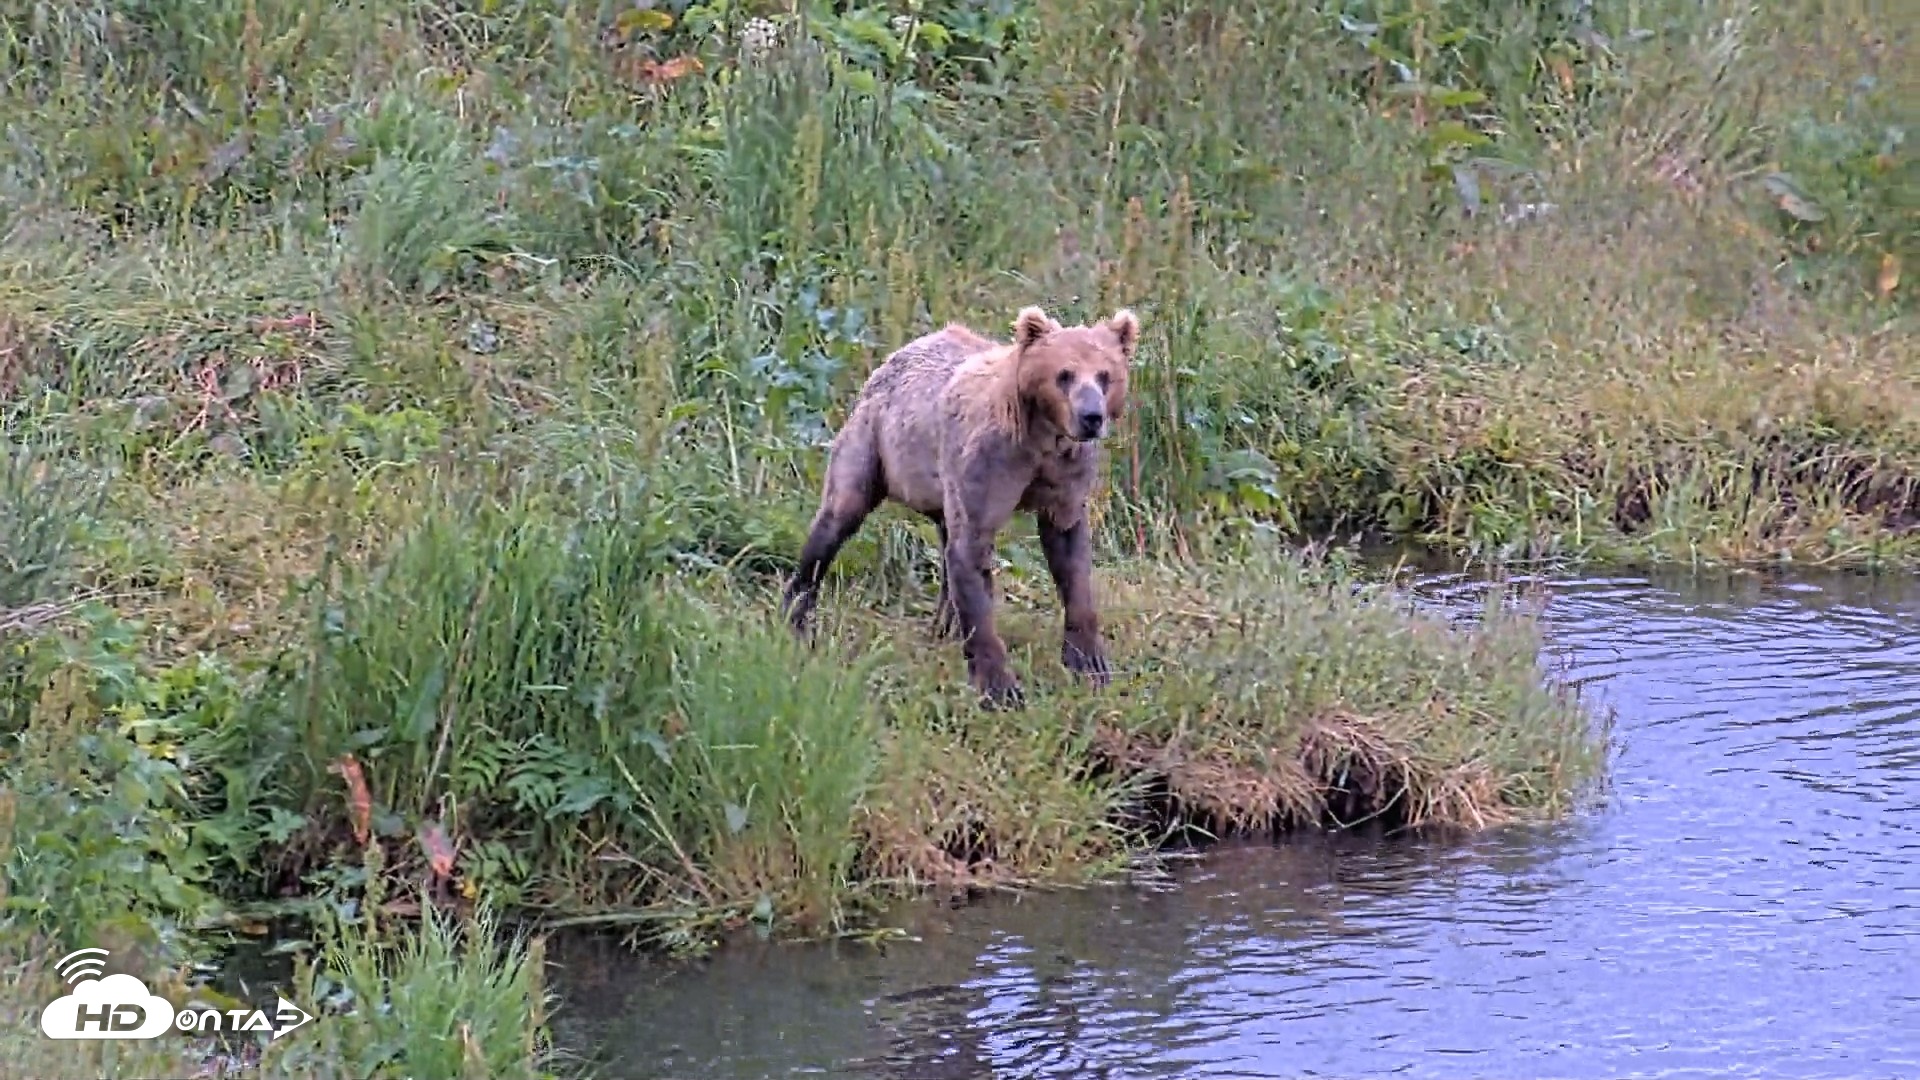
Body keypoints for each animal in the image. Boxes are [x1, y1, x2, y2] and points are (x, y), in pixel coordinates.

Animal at [781, 303, 1140, 709]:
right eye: (1064, 374)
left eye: (1105, 375)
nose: (1091, 417)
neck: (1040, 439)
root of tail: (897, 354)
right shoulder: (988, 463)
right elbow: (972, 555)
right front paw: (1000, 687)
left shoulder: (1065, 475)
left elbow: (1070, 556)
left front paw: (1089, 663)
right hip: (874, 441)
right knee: (838, 515)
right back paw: (796, 616)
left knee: (943, 542)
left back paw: (944, 624)